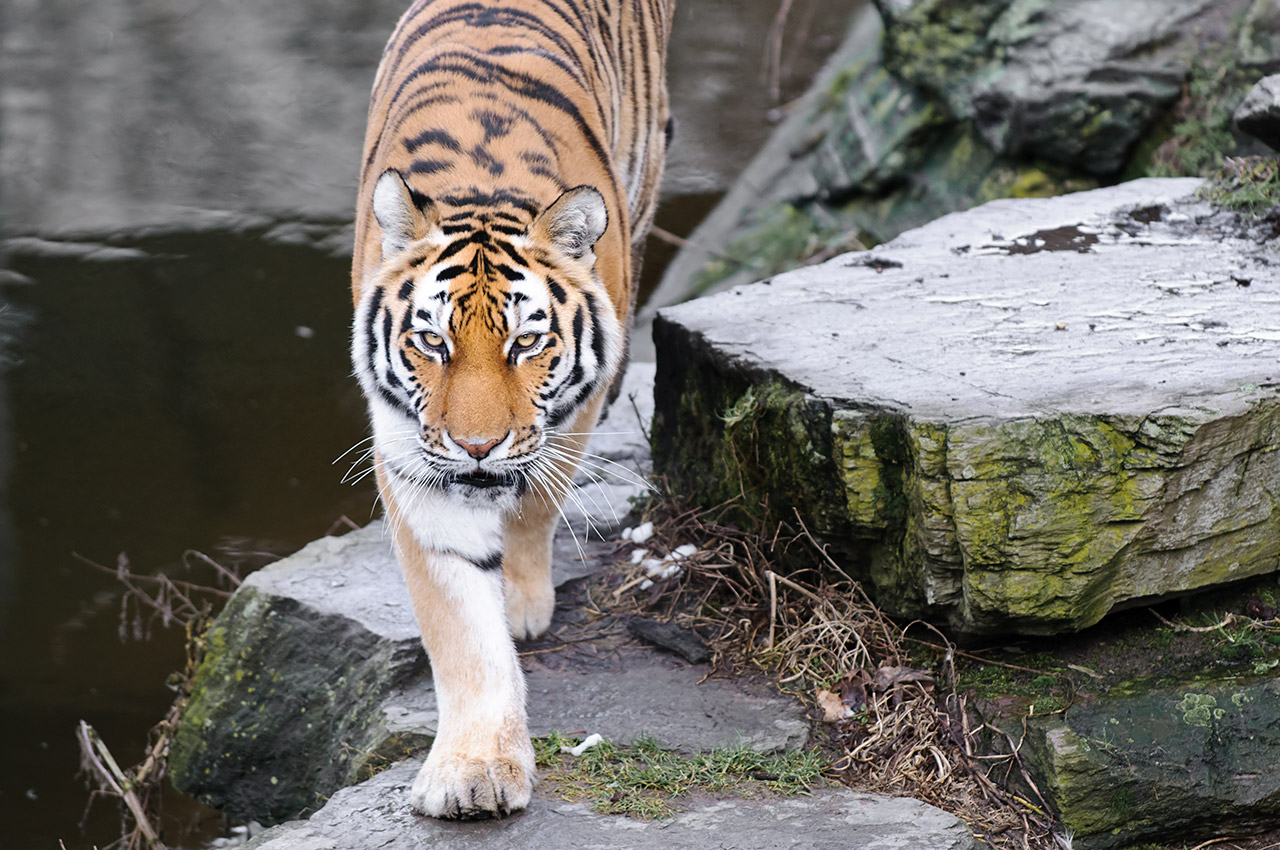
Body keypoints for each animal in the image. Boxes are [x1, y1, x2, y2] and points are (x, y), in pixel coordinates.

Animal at [349, 0, 672, 820]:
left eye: (526, 341)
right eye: (431, 340)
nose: (475, 447)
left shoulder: (575, 409)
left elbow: (534, 506)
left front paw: (523, 602)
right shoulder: (412, 454)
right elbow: (462, 626)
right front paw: (473, 771)